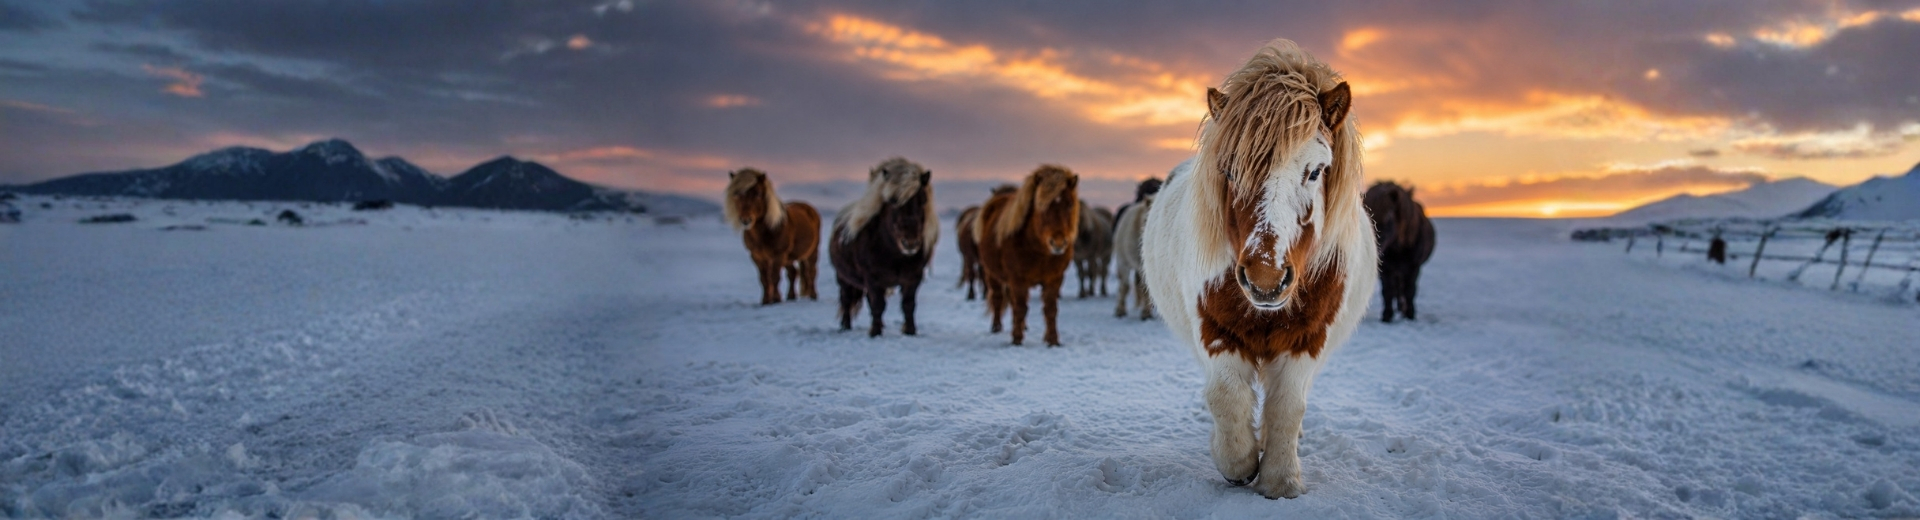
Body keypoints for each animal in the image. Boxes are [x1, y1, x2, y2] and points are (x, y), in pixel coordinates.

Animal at [723, 168, 821, 305]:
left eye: (758, 194)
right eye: (736, 194)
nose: (746, 220)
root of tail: (808, 208)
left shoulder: (778, 255)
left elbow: (774, 277)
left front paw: (776, 299)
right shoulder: (757, 256)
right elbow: (764, 278)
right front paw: (765, 301)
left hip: (812, 251)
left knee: (811, 272)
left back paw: (813, 296)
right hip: (789, 257)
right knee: (793, 273)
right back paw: (791, 296)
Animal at [829, 157, 938, 337]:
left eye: (923, 200)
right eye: (893, 201)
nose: (910, 243)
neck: (894, 254)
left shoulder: (913, 278)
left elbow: (908, 305)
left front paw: (910, 331)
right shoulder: (872, 279)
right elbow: (878, 305)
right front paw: (875, 333)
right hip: (843, 277)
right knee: (846, 300)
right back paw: (845, 327)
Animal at [976, 164, 1080, 346]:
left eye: (1069, 204)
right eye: (1041, 205)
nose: (1058, 243)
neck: (1040, 251)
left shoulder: (1054, 279)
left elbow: (1050, 309)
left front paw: (1053, 340)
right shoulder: (1018, 280)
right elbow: (1020, 308)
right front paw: (1017, 340)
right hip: (992, 274)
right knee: (998, 298)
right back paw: (997, 327)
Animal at [1140, 39, 1376, 499]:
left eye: (1316, 170)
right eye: (1230, 171)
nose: (1266, 279)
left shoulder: (1307, 338)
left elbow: (1287, 405)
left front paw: (1280, 481)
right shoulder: (1214, 328)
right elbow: (1225, 395)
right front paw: (1237, 462)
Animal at [1362, 181, 1435, 322]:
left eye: (1388, 218)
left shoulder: (1413, 267)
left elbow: (1410, 290)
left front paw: (1410, 314)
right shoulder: (1386, 268)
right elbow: (1387, 291)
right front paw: (1387, 315)